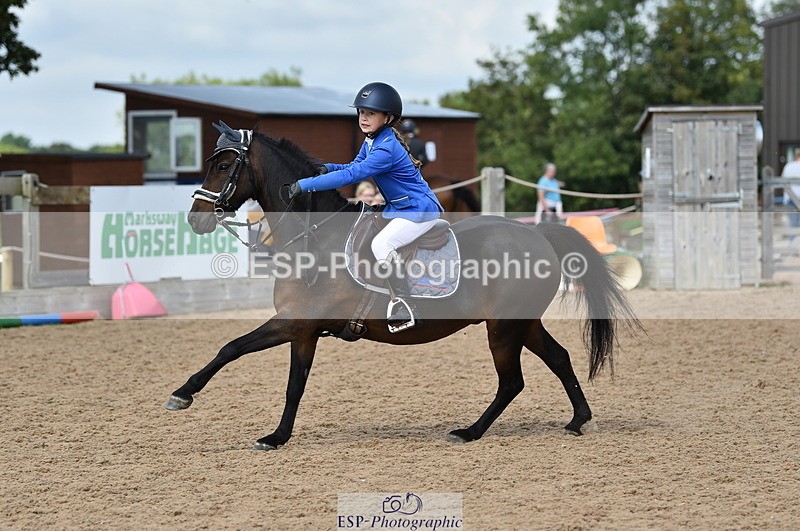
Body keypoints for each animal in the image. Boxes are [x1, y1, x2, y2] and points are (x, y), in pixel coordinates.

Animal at [164, 123, 641, 451]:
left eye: (224, 165)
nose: (195, 219)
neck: (316, 237)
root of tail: (538, 233)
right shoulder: (299, 329)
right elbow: (275, 373)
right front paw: (271, 433)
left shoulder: (296, 323)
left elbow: (245, 355)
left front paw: (187, 397)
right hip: (522, 324)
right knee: (558, 359)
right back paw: (578, 419)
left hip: (503, 328)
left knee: (512, 382)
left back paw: (469, 432)